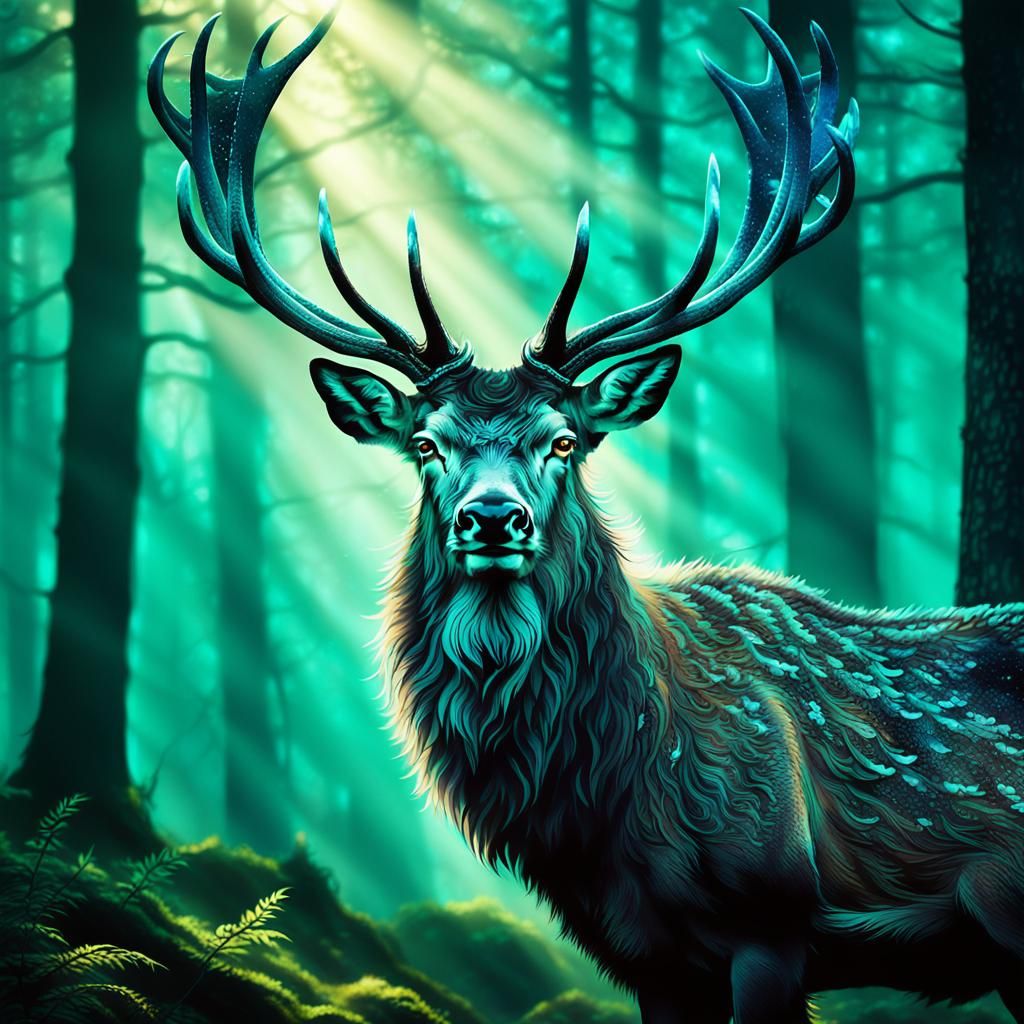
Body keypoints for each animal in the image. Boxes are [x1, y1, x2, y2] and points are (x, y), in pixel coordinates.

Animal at [149, 8, 1024, 1024]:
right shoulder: (645, 952)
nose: (494, 518)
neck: (614, 800)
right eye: (427, 443)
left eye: (564, 440)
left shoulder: (774, 920)